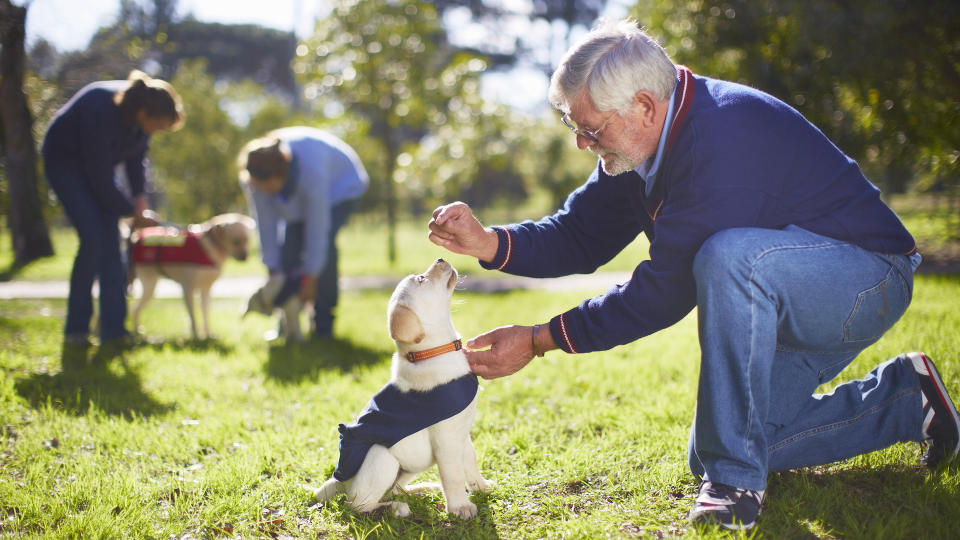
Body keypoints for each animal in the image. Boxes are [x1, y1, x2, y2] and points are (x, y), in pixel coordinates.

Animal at [316, 260, 492, 520]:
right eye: (421, 279)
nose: (440, 259)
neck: (432, 351)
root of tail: (339, 481)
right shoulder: (447, 440)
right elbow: (453, 476)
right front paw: (460, 507)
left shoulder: (461, 434)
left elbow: (470, 461)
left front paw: (481, 486)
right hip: (381, 457)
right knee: (357, 505)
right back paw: (394, 508)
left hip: (414, 464)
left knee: (395, 488)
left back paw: (421, 490)